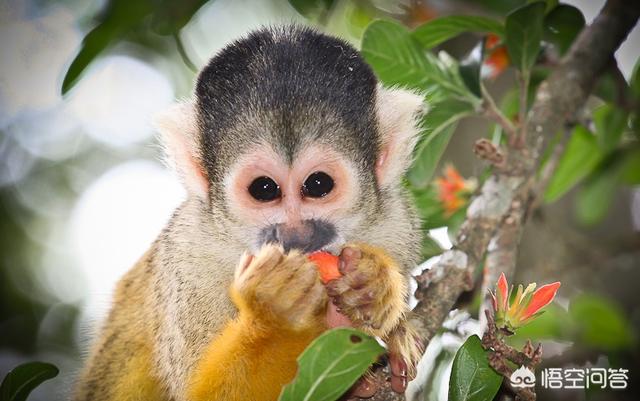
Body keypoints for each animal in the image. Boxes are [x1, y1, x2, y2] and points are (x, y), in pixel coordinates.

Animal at [74, 26, 424, 398]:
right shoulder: (190, 258)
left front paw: (372, 283)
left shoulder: (396, 222)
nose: (297, 235)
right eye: (264, 189)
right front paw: (273, 317)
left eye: (318, 185)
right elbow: (200, 394)